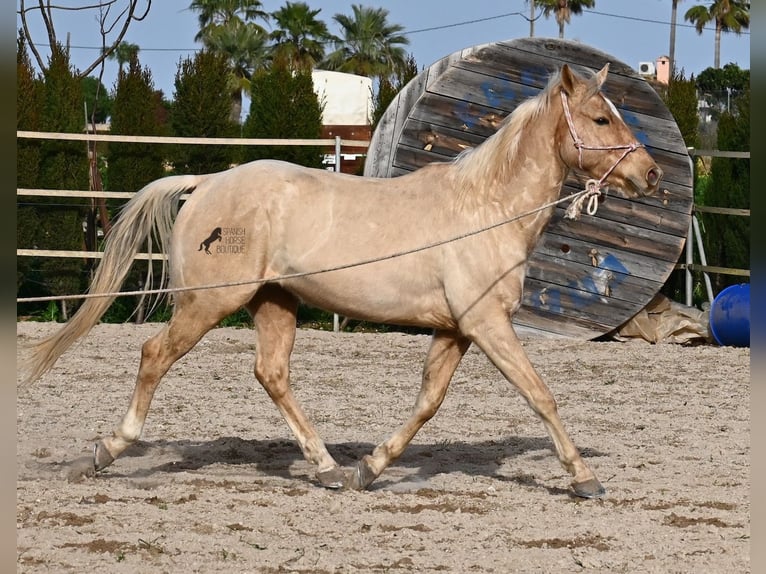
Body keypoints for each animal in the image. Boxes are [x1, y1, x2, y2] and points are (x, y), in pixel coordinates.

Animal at [20, 63, 662, 498]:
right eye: (601, 116)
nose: (651, 174)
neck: (486, 208)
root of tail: (205, 183)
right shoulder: (487, 324)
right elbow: (540, 395)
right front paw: (585, 478)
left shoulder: (456, 330)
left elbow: (428, 401)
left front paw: (369, 469)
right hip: (206, 304)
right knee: (155, 356)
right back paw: (104, 452)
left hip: (274, 303)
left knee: (272, 374)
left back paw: (327, 467)